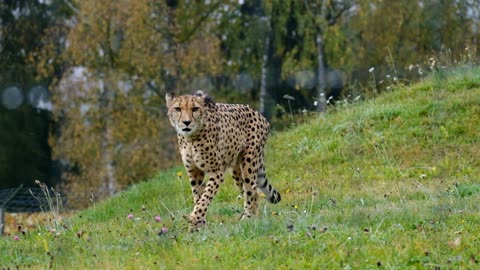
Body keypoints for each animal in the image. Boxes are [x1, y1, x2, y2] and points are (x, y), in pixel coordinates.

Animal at [167, 90, 282, 230]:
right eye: (178, 109)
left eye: (195, 109)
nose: (186, 122)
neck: (191, 138)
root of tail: (259, 114)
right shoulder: (194, 171)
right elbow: (198, 196)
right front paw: (199, 224)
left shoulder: (216, 172)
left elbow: (205, 197)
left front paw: (195, 220)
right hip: (236, 170)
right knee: (251, 191)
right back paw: (254, 217)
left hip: (249, 162)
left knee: (252, 191)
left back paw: (247, 219)